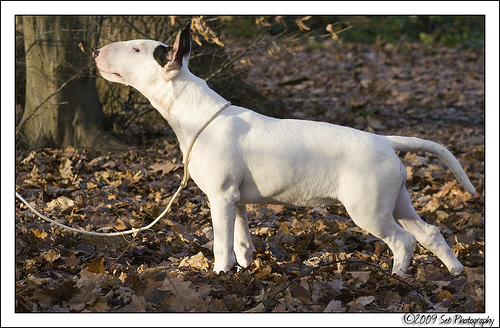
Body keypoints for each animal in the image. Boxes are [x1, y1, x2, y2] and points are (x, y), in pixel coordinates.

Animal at [94, 21, 476, 276]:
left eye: (137, 50)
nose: (96, 52)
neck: (197, 113)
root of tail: (385, 141)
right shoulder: (236, 200)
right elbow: (241, 241)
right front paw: (244, 271)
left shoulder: (220, 197)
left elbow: (222, 244)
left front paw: (219, 276)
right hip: (396, 200)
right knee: (429, 232)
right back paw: (455, 272)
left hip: (368, 209)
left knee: (403, 240)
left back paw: (397, 277)